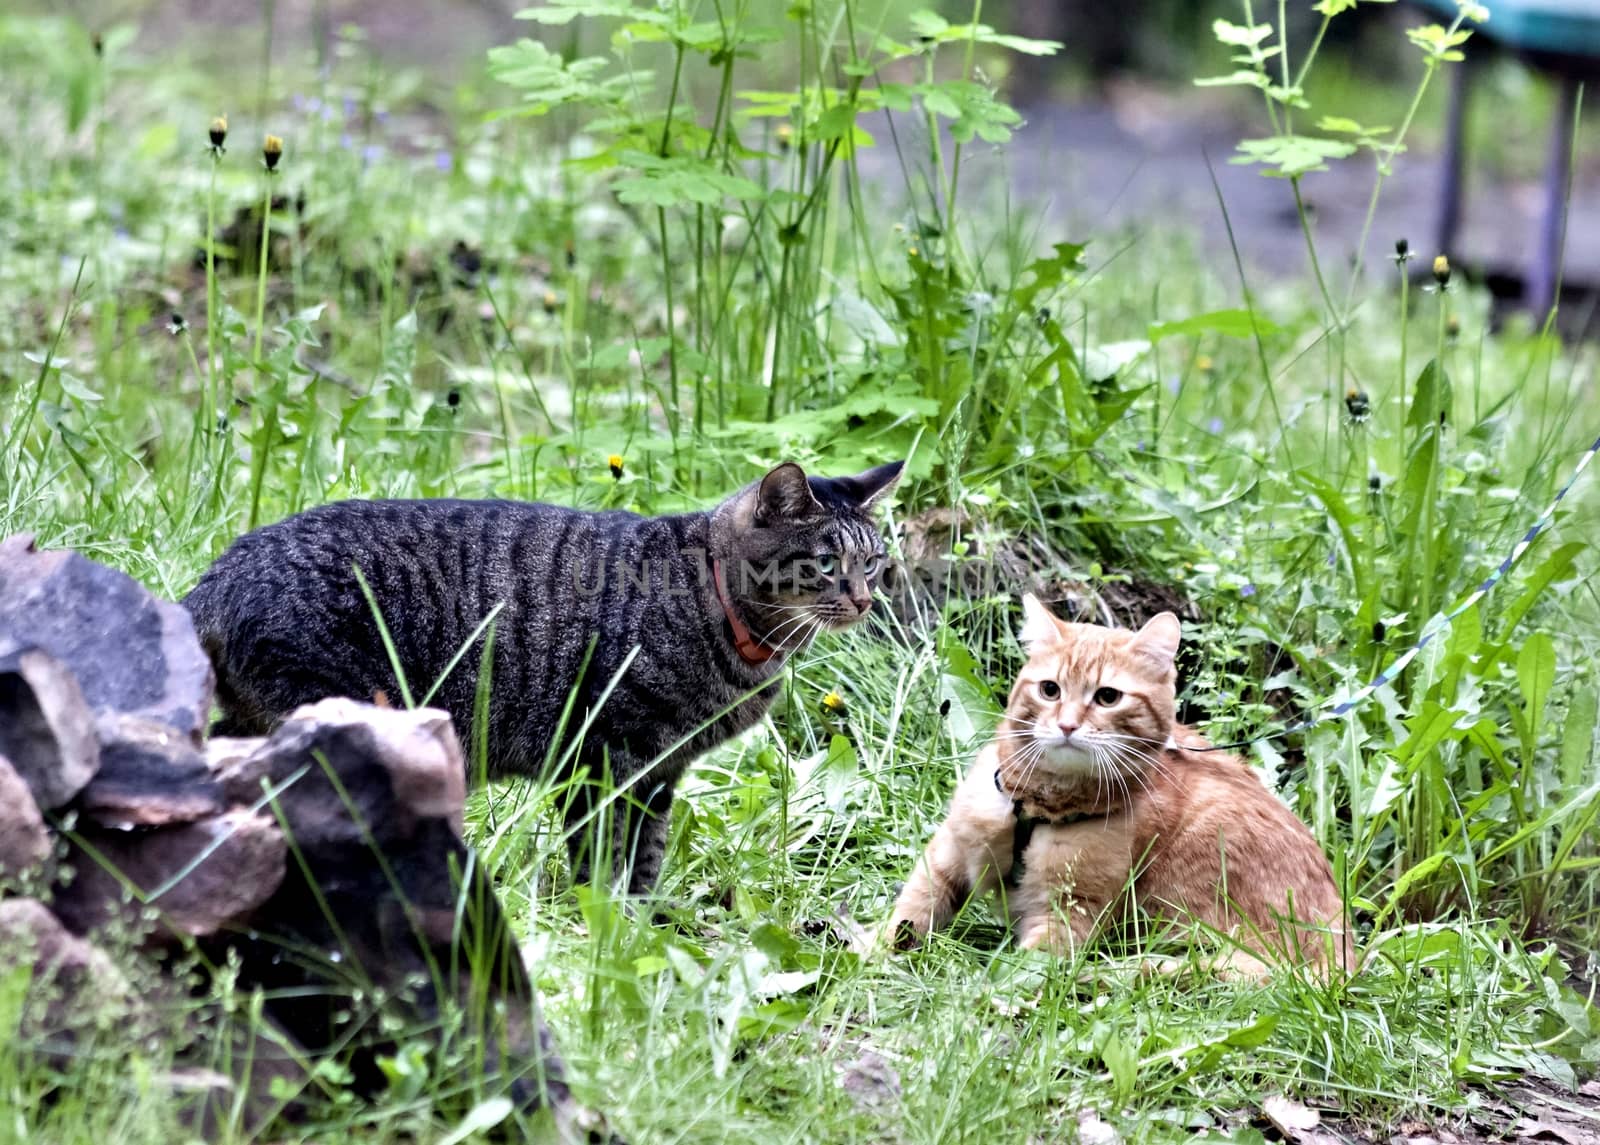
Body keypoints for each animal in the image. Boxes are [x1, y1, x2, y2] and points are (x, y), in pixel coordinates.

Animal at [187, 463, 902, 895]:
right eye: (825, 563)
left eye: (872, 561)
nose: (867, 601)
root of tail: (219, 572)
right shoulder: (599, 755)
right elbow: (600, 853)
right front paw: (605, 918)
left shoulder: (658, 773)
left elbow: (646, 854)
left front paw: (644, 925)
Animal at [889, 594, 1350, 978]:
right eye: (1050, 690)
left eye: (1108, 697)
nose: (1067, 725)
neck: (1038, 804)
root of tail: (1342, 952)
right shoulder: (946, 856)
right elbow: (907, 915)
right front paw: (877, 954)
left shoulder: (1071, 912)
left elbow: (1022, 971)